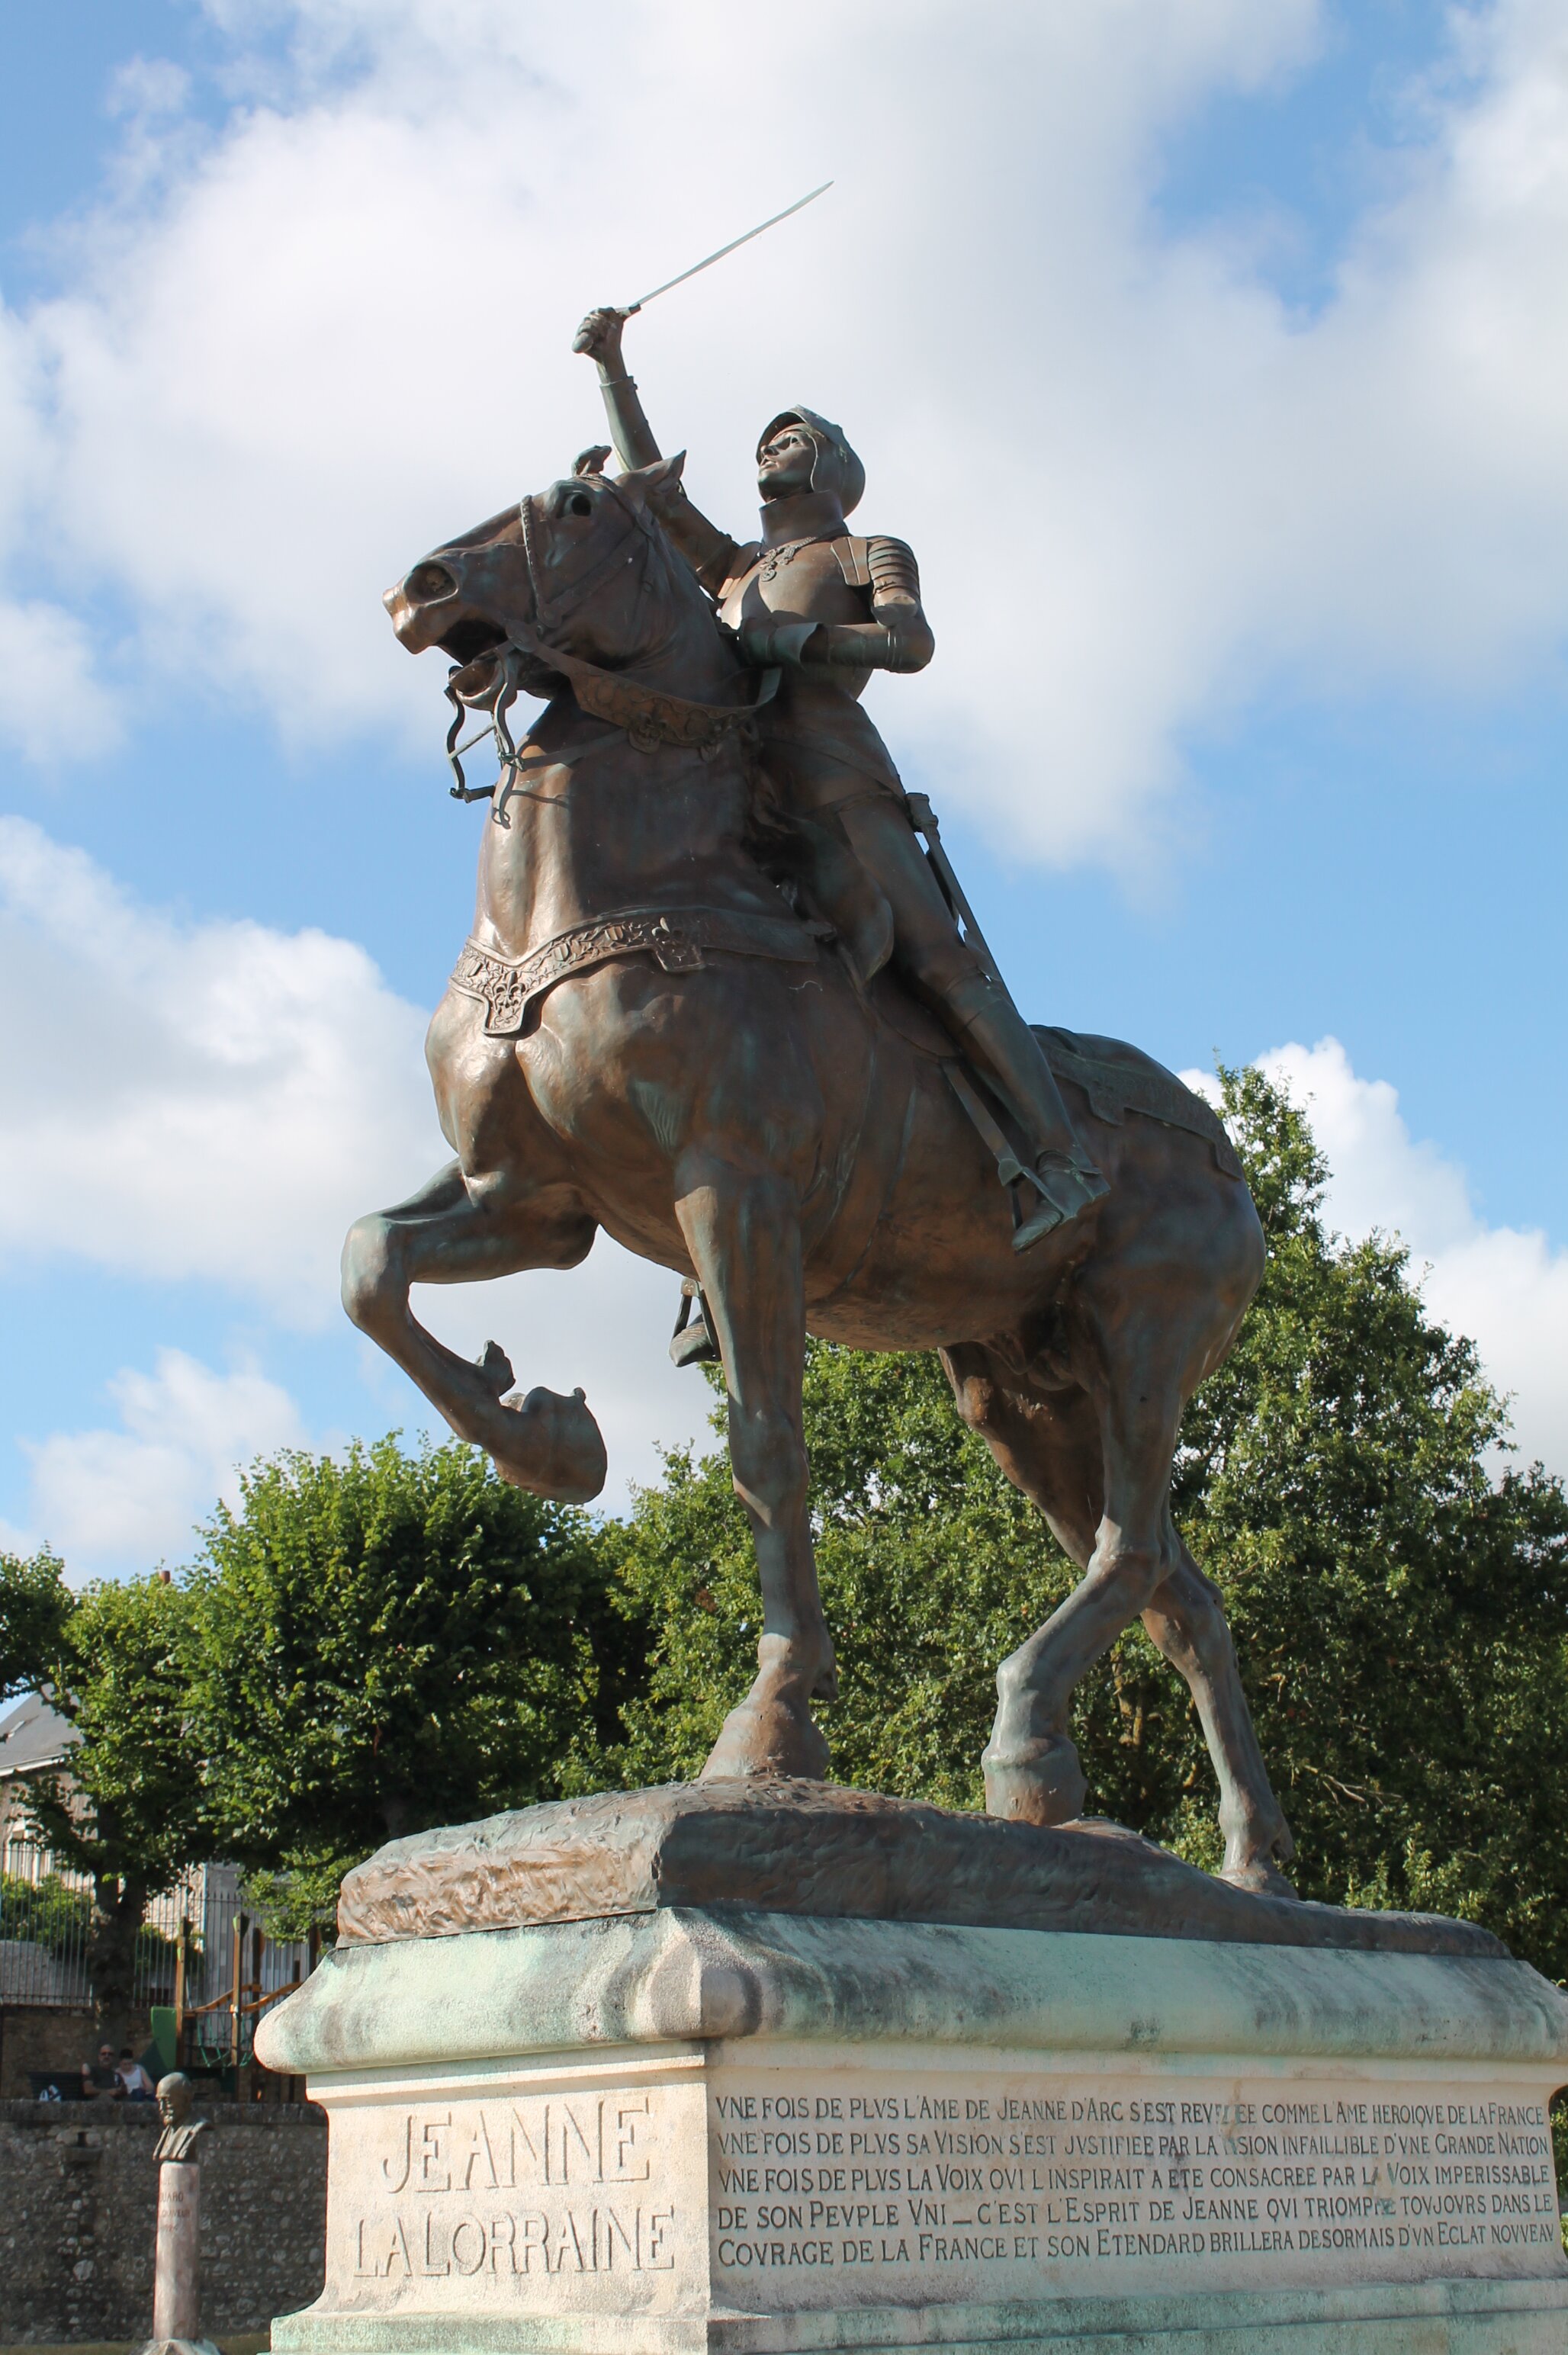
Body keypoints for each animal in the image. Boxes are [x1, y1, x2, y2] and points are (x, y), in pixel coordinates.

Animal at [350, 454, 1290, 1893]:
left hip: (1144, 1340)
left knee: (1135, 1547)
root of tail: (1219, 1147)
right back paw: (1246, 1859)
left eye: (575, 506)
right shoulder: (538, 1203)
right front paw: (551, 1441)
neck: (583, 907)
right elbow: (370, 1266)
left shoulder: (734, 1202)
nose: (423, 586)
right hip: (1021, 1395)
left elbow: (768, 1444)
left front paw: (774, 1719)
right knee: (1178, 1590)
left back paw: (1025, 1739)